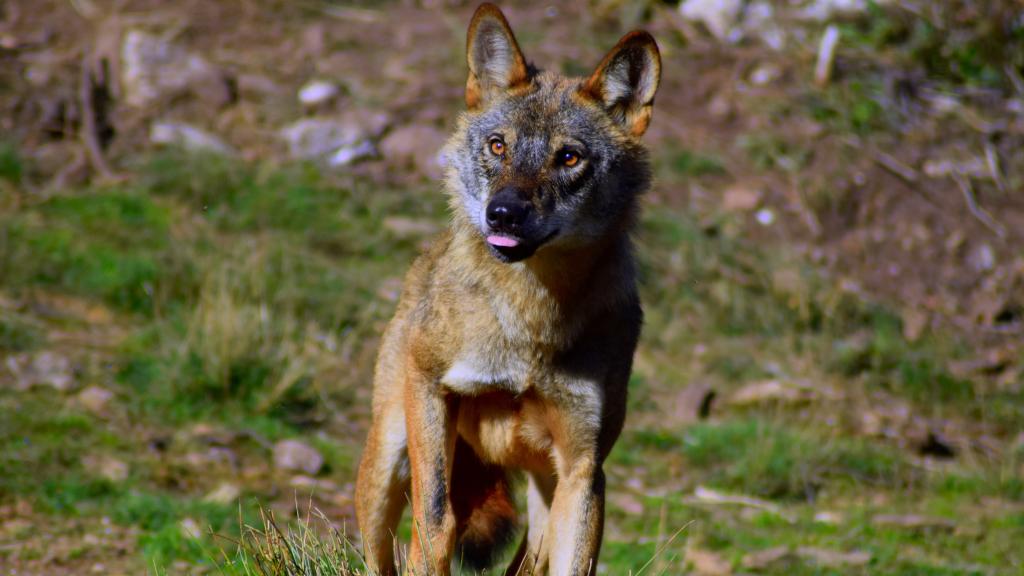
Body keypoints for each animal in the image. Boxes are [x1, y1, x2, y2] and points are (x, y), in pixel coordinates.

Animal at [354, 3, 660, 575]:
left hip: (544, 495)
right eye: (498, 146)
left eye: (569, 158)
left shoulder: (586, 467)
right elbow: (436, 524)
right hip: (389, 453)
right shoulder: (430, 385)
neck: (530, 321)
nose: (503, 213)